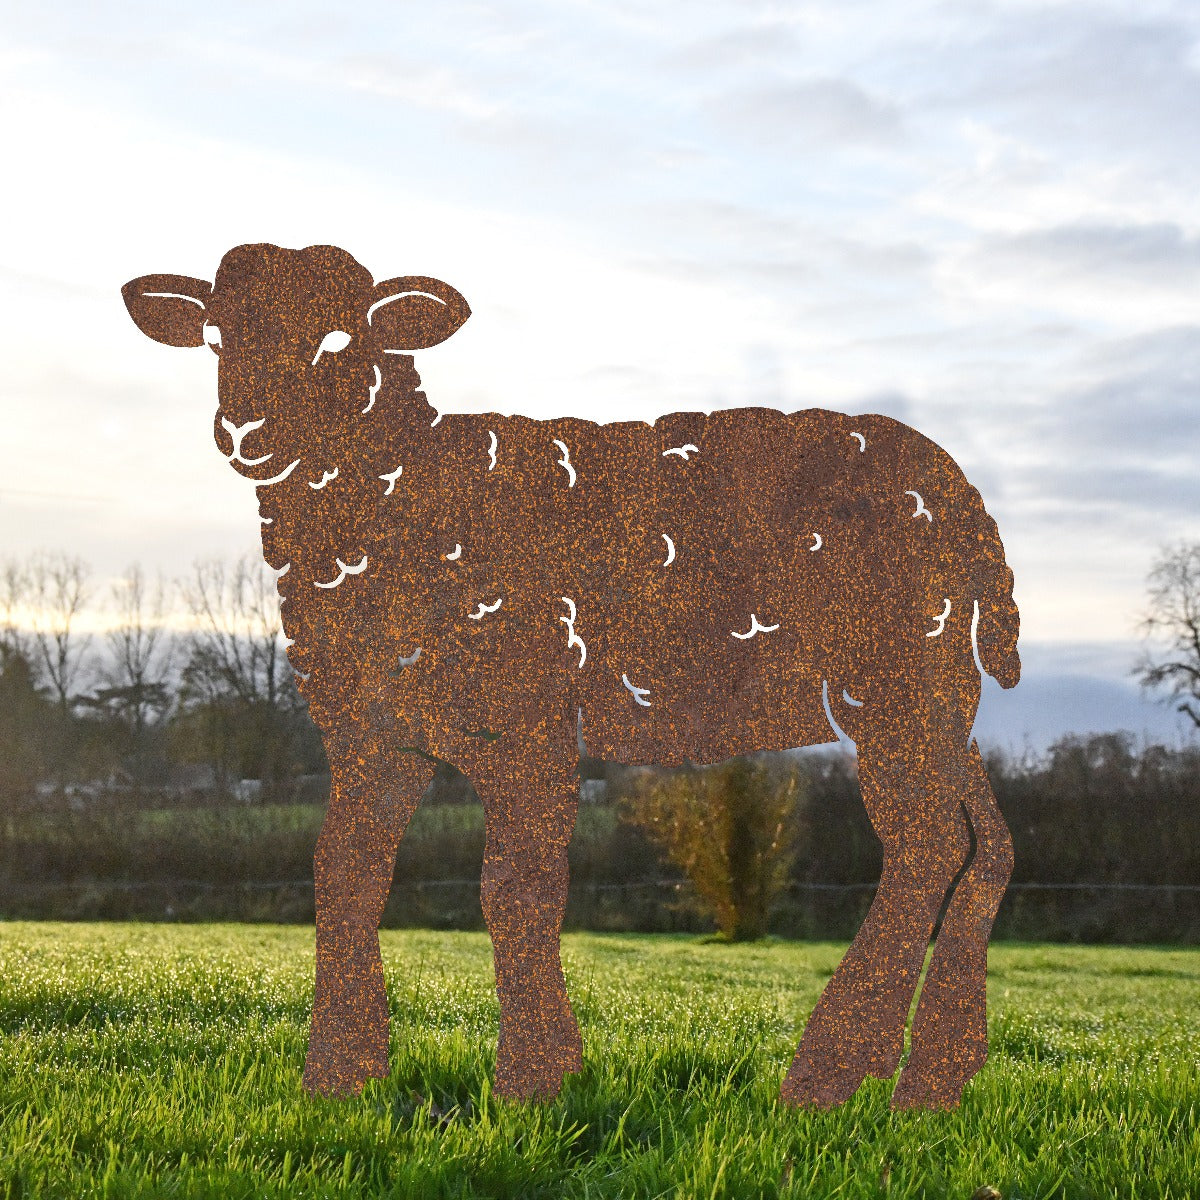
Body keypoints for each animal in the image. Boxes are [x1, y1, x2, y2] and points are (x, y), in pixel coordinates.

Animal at [122, 242, 1020, 1111]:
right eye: (214, 338)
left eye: (342, 340)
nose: (247, 430)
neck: (409, 488)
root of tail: (966, 501)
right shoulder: (373, 733)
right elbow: (343, 875)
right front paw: (341, 1077)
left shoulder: (526, 712)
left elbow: (515, 888)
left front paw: (534, 1079)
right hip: (944, 693)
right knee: (987, 847)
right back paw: (932, 1078)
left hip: (895, 677)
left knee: (928, 848)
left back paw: (829, 1075)